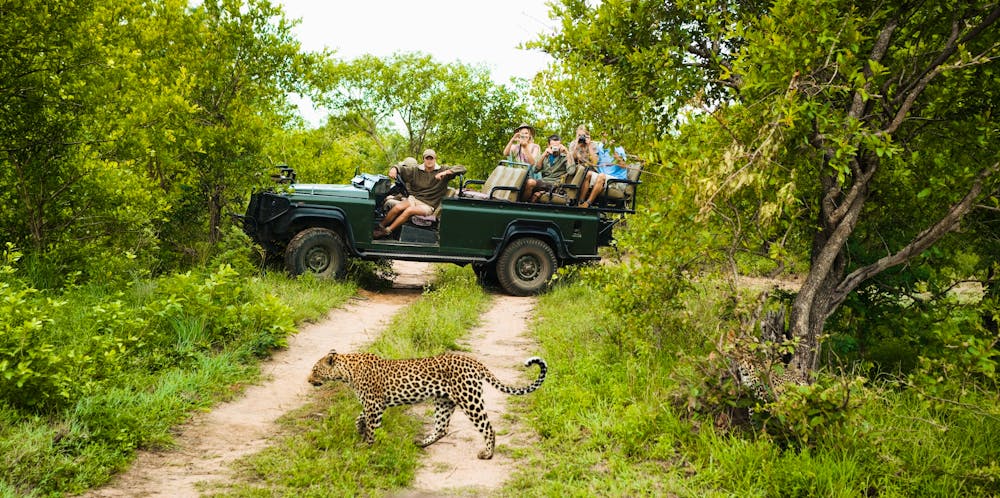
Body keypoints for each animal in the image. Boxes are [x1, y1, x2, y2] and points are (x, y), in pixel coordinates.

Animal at [308, 350, 547, 459]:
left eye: (315, 370)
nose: (309, 380)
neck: (347, 372)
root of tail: (474, 361)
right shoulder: (374, 405)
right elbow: (360, 417)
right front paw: (360, 429)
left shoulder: (374, 405)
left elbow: (371, 427)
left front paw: (367, 447)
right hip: (444, 401)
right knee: (442, 427)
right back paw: (421, 443)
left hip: (469, 399)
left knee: (488, 428)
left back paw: (487, 454)